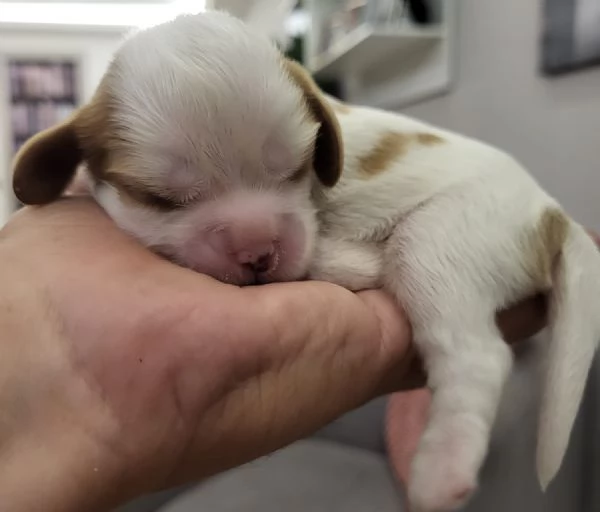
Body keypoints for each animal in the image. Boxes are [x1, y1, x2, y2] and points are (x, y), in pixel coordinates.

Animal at [10, 9, 600, 512]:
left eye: (296, 168)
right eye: (160, 198)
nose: (257, 251)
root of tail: (552, 213)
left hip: (443, 238)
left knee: (477, 354)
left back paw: (442, 470)